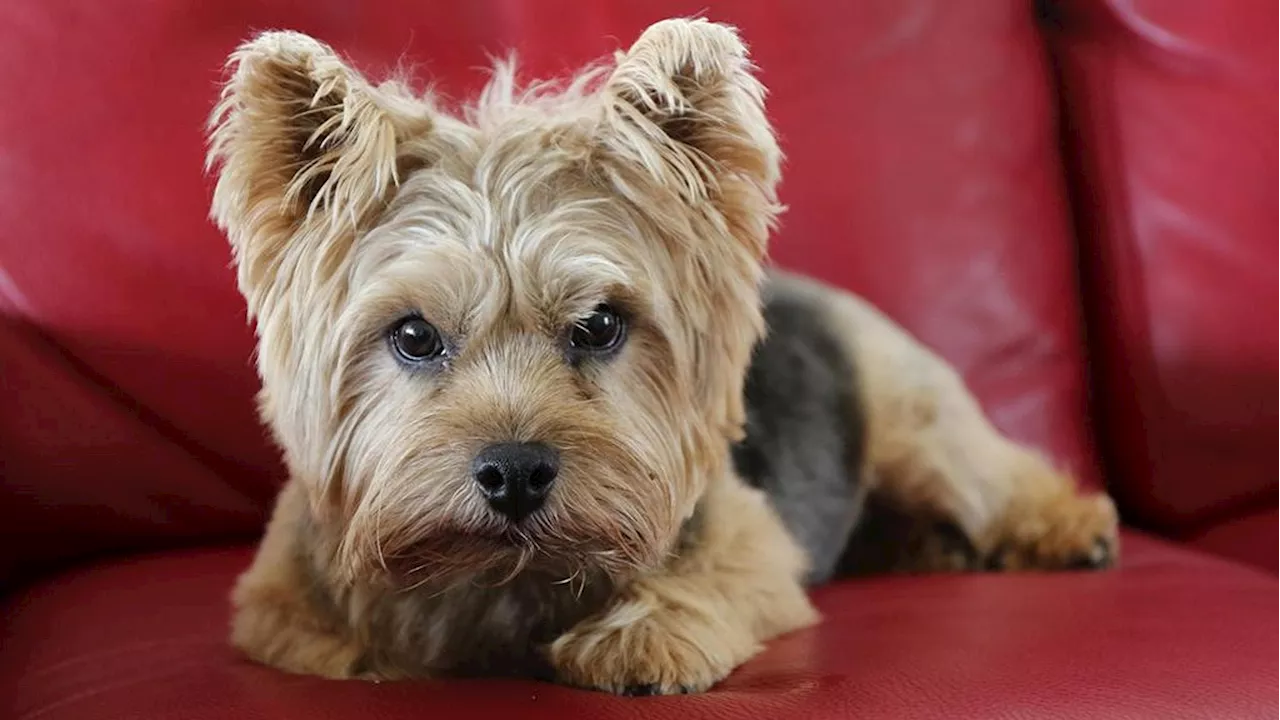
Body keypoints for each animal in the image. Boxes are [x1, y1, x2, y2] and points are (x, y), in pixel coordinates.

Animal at [204, 15, 1116, 691]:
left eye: (601, 325)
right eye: (414, 336)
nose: (514, 472)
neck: (507, 576)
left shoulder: (753, 548)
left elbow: (711, 586)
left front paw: (640, 637)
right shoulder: (280, 610)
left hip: (914, 424)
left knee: (992, 476)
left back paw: (1067, 529)